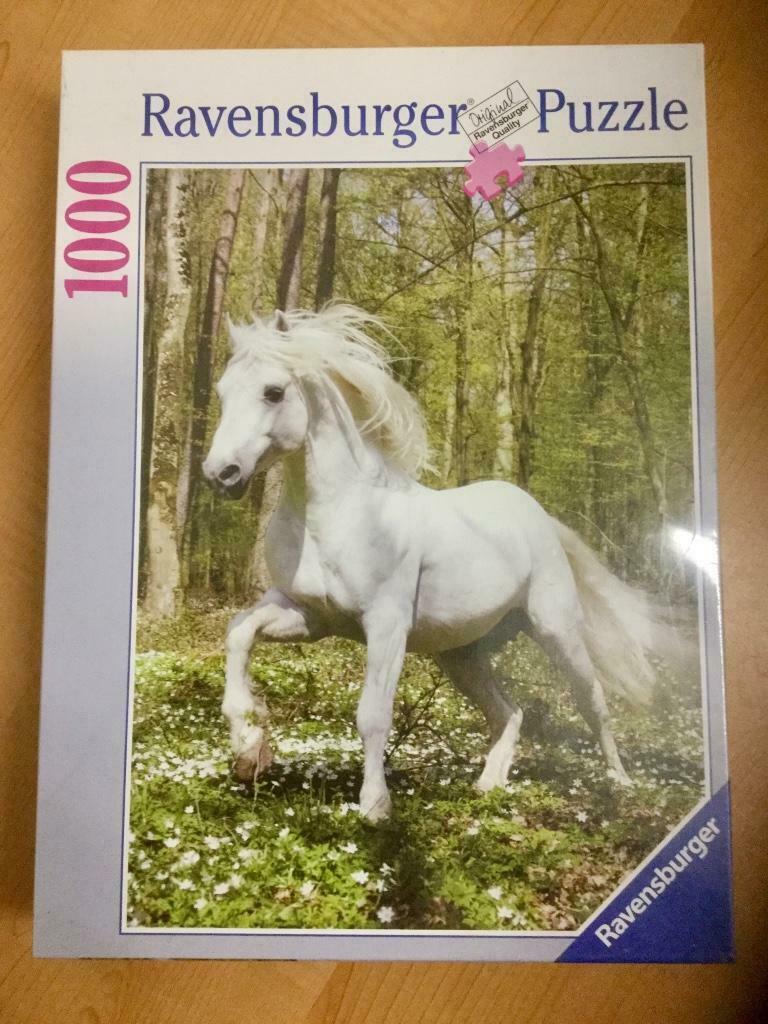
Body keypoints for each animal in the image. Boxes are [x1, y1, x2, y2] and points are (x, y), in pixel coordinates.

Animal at [202, 304, 682, 822]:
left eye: (273, 392)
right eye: (221, 391)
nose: (220, 474)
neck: (336, 514)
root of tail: (538, 516)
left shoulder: (385, 624)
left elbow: (372, 714)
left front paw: (375, 807)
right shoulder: (308, 614)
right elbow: (239, 631)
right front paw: (248, 747)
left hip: (556, 630)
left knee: (592, 700)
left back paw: (619, 784)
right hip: (461, 655)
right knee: (508, 712)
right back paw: (489, 785)